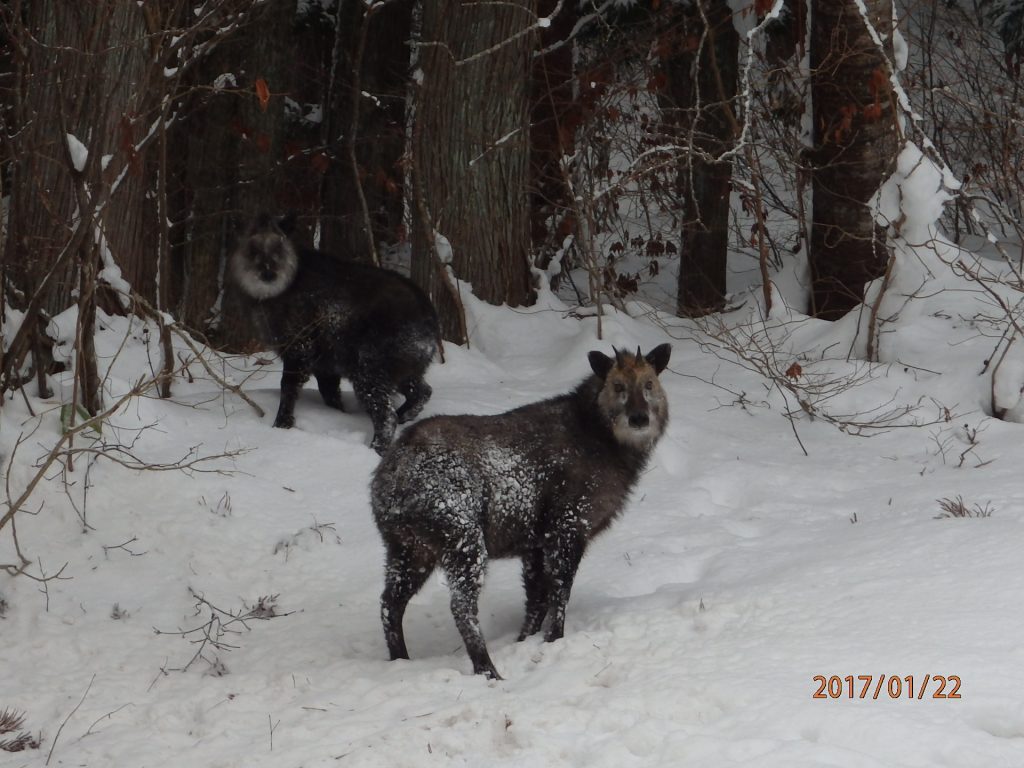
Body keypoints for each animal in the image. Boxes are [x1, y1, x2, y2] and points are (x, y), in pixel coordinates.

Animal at [229, 214, 440, 454]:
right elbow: (329, 393)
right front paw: (336, 415)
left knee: (387, 416)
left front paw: (282, 423)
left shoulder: (299, 349)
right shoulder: (325, 364)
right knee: (422, 392)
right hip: (403, 369)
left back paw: (376, 448)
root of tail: (429, 317)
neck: (284, 288)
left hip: (369, 372)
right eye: (252, 249)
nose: (268, 274)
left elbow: (288, 387)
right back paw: (405, 416)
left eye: (279, 248)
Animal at [370, 344, 672, 679]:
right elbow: (559, 594)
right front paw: (554, 640)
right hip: (462, 540)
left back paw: (400, 660)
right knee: (461, 607)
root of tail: (389, 482)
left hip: (408, 547)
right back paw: (489, 671)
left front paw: (525, 641)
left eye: (649, 383)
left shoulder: (535, 543)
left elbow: (536, 601)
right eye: (618, 386)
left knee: (390, 602)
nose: (639, 418)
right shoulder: (567, 525)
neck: (601, 439)